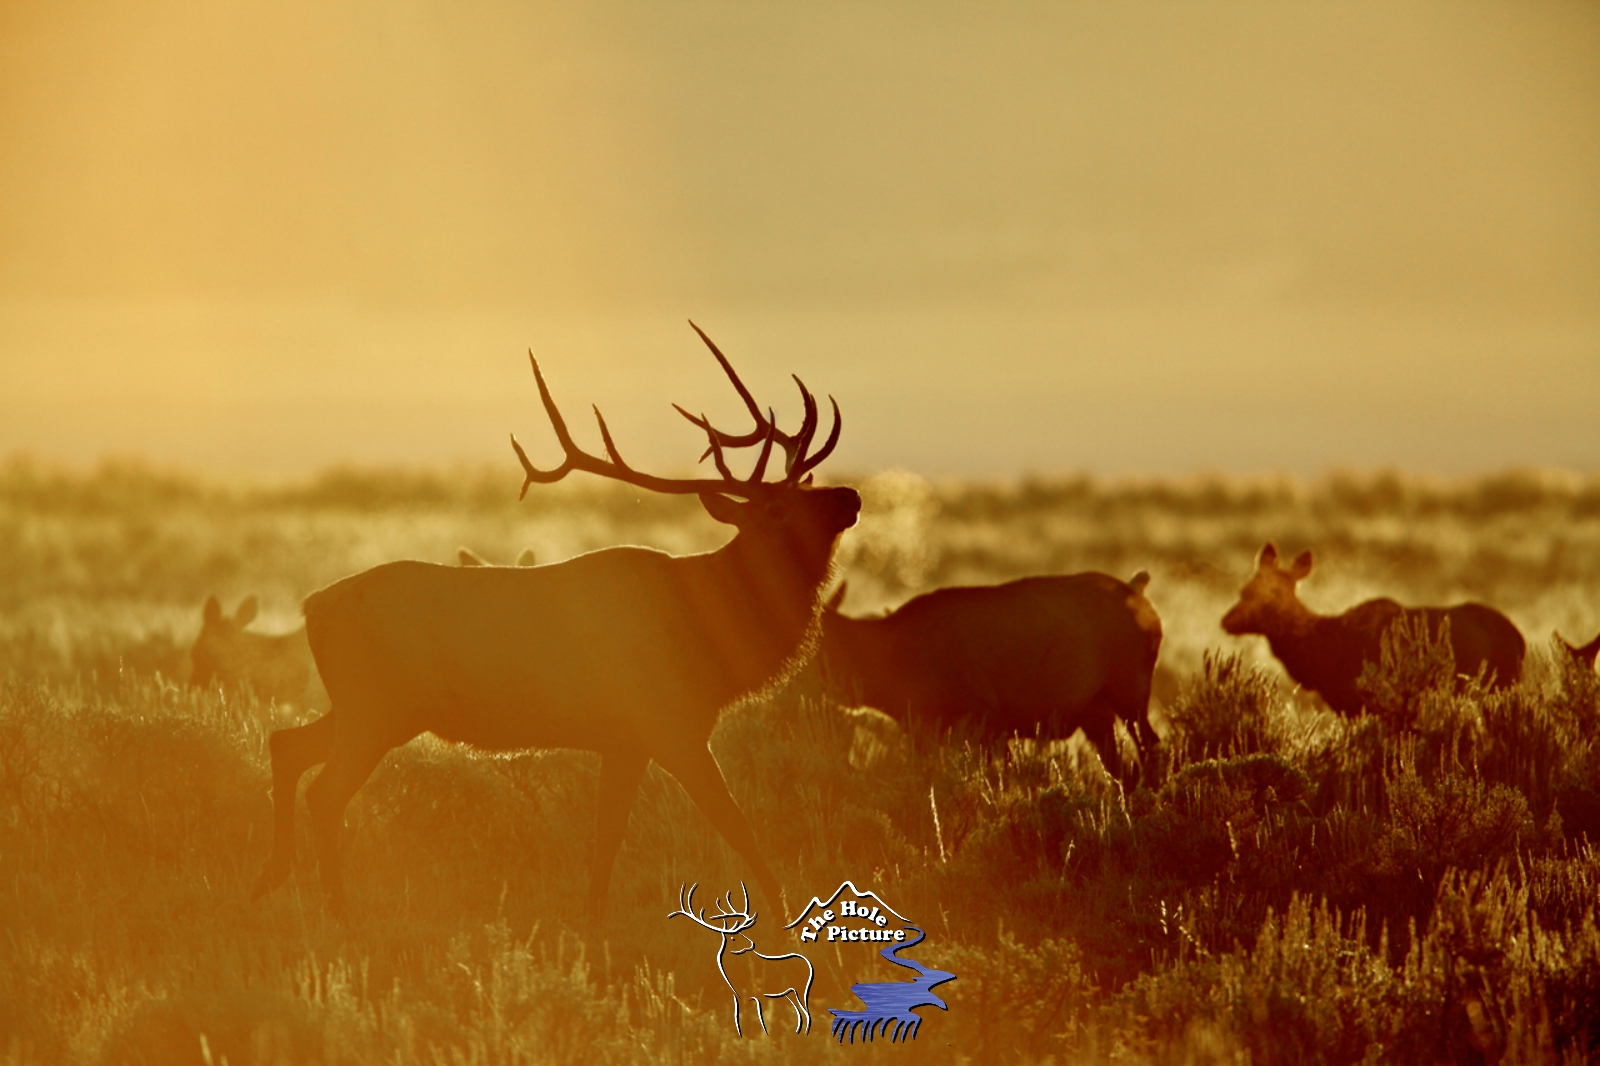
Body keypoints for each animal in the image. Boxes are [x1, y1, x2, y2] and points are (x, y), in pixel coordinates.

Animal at [251, 323, 861, 920]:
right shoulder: (670, 723)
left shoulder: (627, 740)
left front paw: (593, 927)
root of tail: (312, 607)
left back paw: (274, 878)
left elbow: (606, 839)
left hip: (363, 707)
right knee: (324, 790)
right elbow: (735, 823)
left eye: (805, 488)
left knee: (287, 745)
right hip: (377, 706)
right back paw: (337, 909)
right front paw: (785, 919)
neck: (713, 629)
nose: (852, 495)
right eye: (775, 509)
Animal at [668, 882, 815, 1036]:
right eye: (734, 937)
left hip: (801, 989)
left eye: (741, 933)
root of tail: (808, 963)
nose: (751, 944)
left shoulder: (756, 992)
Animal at [813, 571, 1163, 784]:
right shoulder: (924, 733)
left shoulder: (987, 724)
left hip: (1131, 696)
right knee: (1121, 770)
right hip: (1097, 715)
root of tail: (1140, 594)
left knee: (1151, 746)